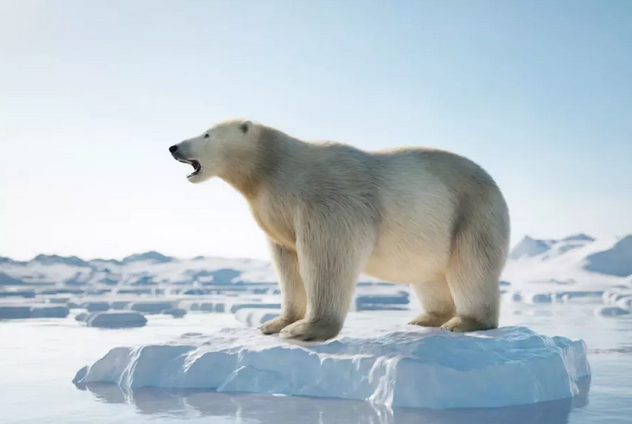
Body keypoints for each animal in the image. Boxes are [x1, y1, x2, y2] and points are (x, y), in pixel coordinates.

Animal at [170, 118, 512, 342]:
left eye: (206, 134)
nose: (174, 146)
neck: (273, 168)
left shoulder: (326, 198)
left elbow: (328, 255)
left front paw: (304, 329)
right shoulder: (277, 214)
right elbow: (287, 264)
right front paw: (275, 323)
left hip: (472, 213)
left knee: (470, 267)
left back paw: (464, 321)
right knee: (429, 275)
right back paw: (426, 317)